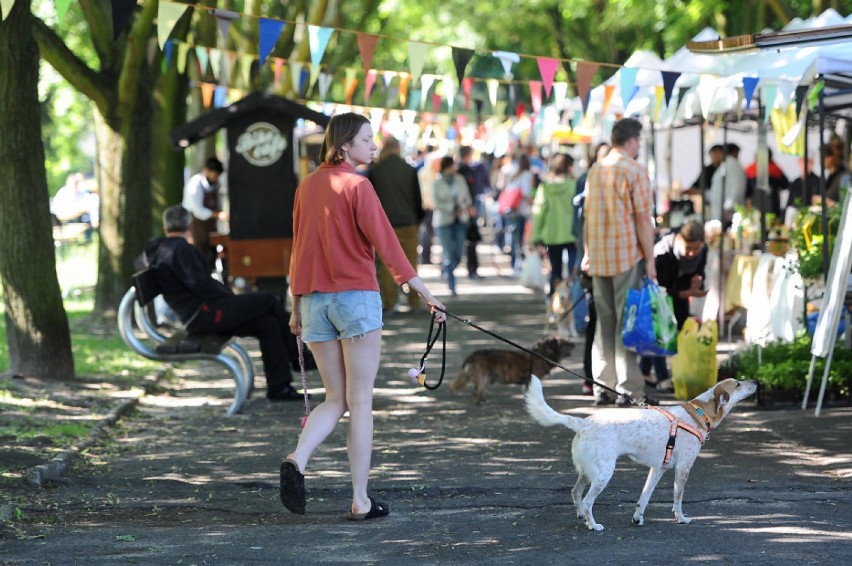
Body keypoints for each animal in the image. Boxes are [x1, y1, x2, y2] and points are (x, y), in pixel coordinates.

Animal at [524, 378, 760, 532]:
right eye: (738, 384)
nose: (756, 381)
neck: (698, 413)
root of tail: (582, 423)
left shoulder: (658, 469)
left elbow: (644, 497)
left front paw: (638, 518)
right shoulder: (683, 468)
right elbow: (677, 499)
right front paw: (681, 518)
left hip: (589, 472)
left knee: (575, 492)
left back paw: (581, 516)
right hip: (604, 474)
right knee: (588, 500)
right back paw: (593, 525)